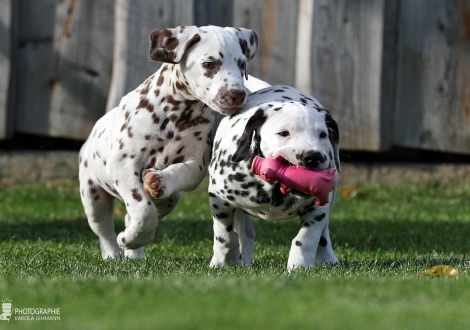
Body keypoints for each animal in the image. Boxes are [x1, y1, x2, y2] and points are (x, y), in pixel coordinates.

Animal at [79, 25, 258, 260]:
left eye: (242, 65)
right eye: (209, 64)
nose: (238, 94)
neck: (176, 114)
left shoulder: (195, 164)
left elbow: (178, 176)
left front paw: (160, 181)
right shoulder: (123, 164)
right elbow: (143, 210)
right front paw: (130, 239)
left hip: (169, 202)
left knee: (136, 214)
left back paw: (134, 253)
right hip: (94, 198)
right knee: (105, 230)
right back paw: (113, 254)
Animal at [207, 85, 340, 270]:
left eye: (322, 135)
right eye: (284, 133)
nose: (314, 157)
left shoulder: (317, 208)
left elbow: (306, 239)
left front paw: (299, 265)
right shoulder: (218, 200)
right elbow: (225, 237)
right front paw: (223, 263)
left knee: (323, 234)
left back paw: (328, 258)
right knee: (245, 233)